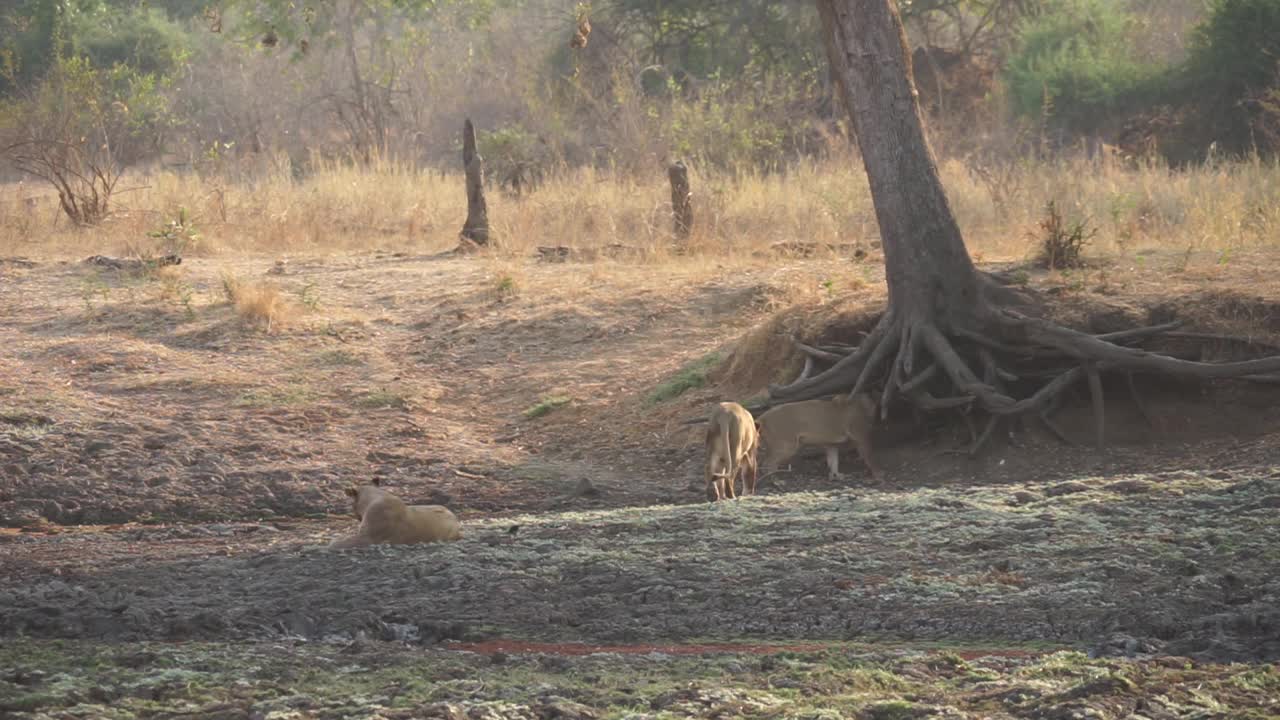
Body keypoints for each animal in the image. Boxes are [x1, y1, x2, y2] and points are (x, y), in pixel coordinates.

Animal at [752, 389, 885, 484]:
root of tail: (762, 417)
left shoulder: (831, 444)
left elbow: (833, 461)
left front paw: (836, 476)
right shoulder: (861, 436)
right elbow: (870, 456)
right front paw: (878, 474)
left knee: (763, 462)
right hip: (787, 445)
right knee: (768, 463)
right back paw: (776, 481)